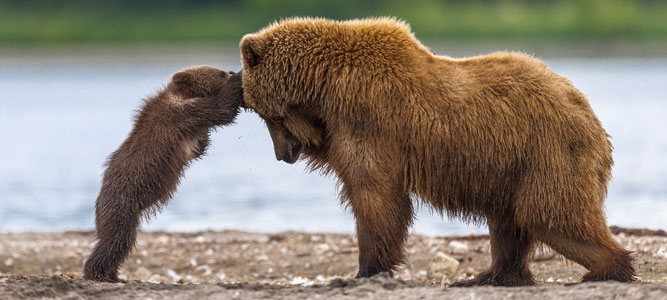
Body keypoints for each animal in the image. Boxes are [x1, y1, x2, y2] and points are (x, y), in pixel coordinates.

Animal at [240, 17, 636, 286]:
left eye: (264, 114)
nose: (282, 154)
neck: (324, 84)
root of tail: (591, 115)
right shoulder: (341, 126)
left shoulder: (368, 118)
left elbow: (375, 195)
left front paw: (366, 269)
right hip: (513, 167)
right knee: (511, 222)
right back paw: (488, 275)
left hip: (548, 151)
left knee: (551, 214)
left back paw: (606, 268)